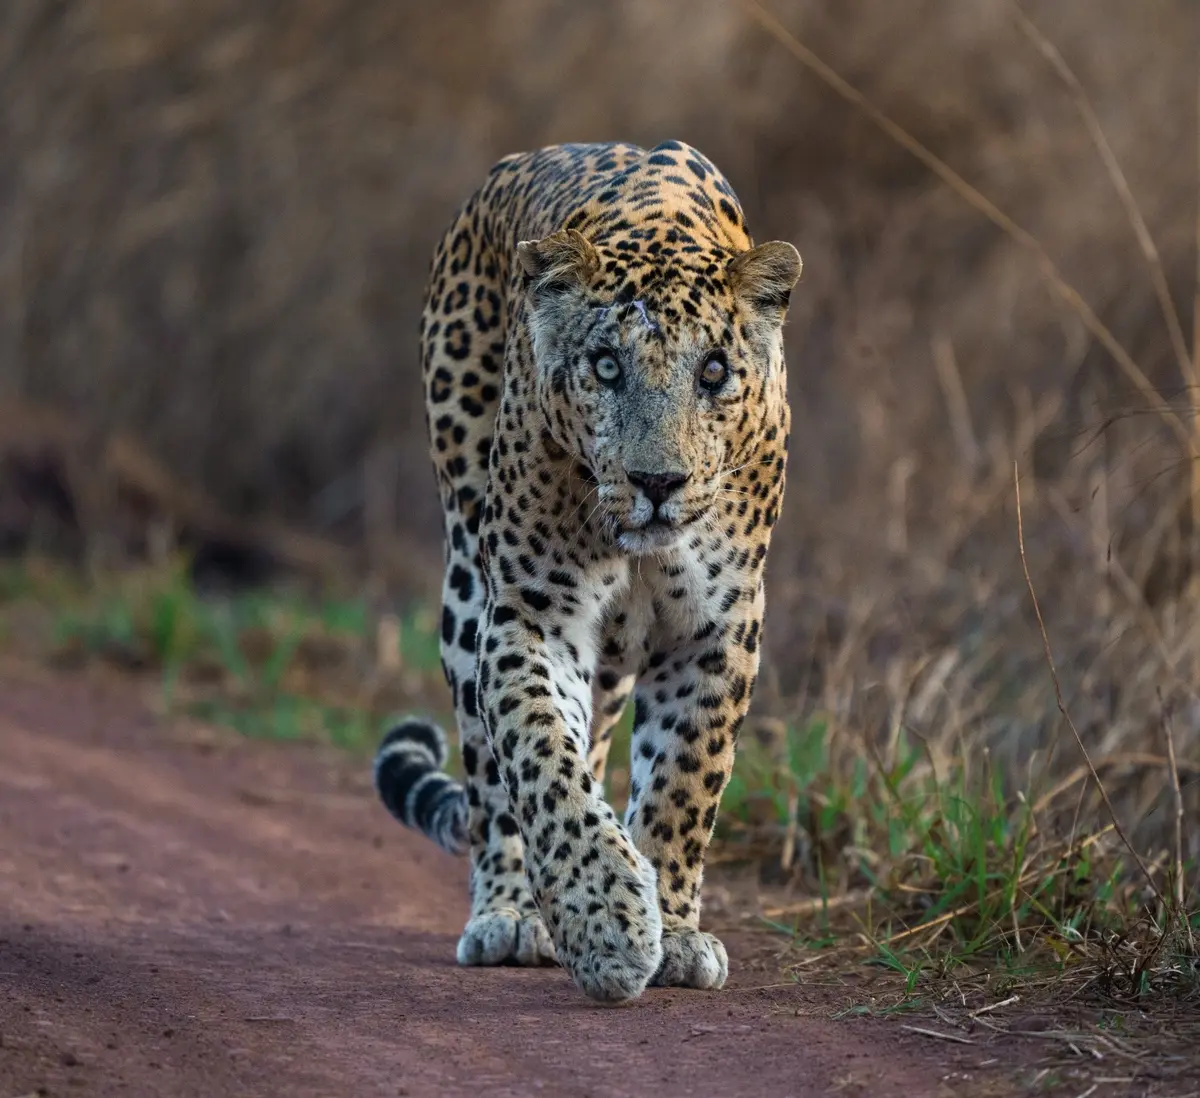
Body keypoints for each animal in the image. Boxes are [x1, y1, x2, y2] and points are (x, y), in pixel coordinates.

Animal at [374, 140, 801, 1004]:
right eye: (606, 366)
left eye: (713, 373)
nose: (658, 482)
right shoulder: (534, 615)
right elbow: (544, 762)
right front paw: (605, 920)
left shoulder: (717, 630)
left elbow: (682, 784)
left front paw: (675, 932)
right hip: (467, 587)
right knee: (493, 782)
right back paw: (509, 914)